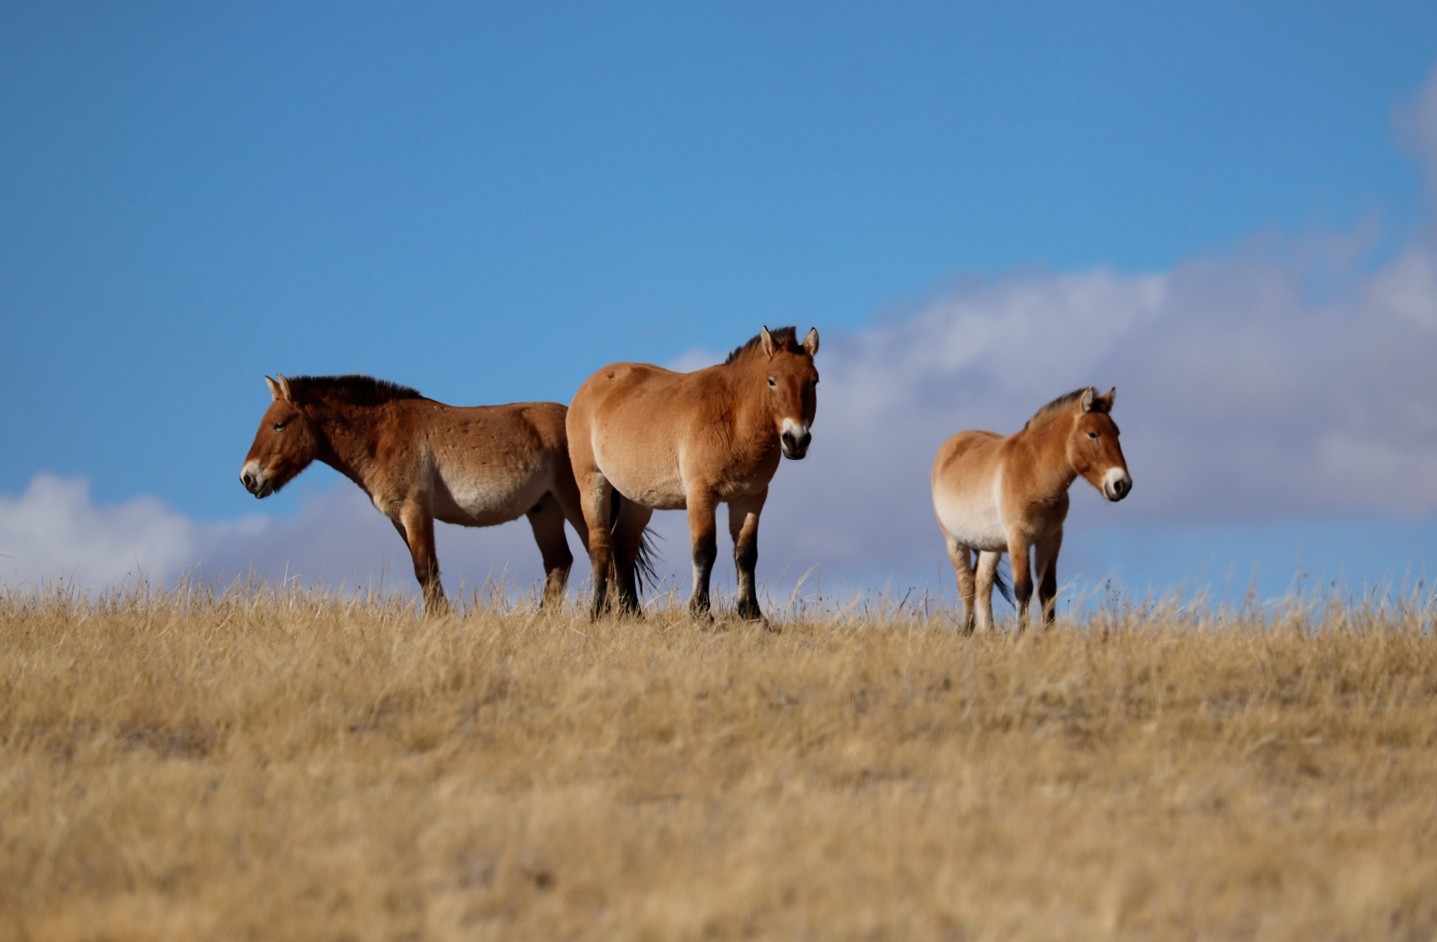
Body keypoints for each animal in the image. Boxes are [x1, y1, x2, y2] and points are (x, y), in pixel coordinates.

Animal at [239, 374, 591, 615]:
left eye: (279, 424)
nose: (248, 478)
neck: (381, 435)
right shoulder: (399, 518)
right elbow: (424, 573)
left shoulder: (416, 509)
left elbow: (426, 570)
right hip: (544, 509)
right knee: (560, 563)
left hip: (575, 504)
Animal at [566, 326, 820, 623]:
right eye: (772, 381)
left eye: (813, 382)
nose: (796, 440)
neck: (733, 417)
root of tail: (590, 386)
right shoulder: (701, 495)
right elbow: (704, 551)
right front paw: (701, 613)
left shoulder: (750, 498)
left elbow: (746, 554)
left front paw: (752, 614)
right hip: (593, 483)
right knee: (600, 543)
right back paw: (598, 611)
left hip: (637, 499)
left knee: (623, 544)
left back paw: (633, 614)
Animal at [931, 387, 1131, 632]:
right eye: (1093, 434)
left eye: (1117, 433)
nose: (1121, 484)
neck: (1035, 473)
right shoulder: (1019, 537)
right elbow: (1023, 588)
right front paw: (1020, 635)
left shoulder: (1051, 538)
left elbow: (1047, 590)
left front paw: (1048, 634)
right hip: (955, 541)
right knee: (967, 584)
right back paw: (966, 631)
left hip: (991, 546)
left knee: (982, 582)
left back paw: (988, 633)